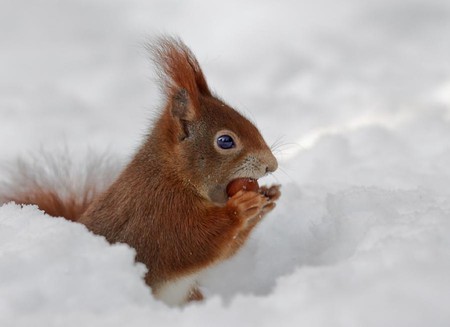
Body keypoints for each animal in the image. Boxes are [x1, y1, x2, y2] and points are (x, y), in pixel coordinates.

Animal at [0, 37, 282, 306]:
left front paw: (269, 197)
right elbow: (191, 244)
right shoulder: (159, 212)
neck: (174, 175)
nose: (272, 165)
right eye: (225, 141)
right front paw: (240, 208)